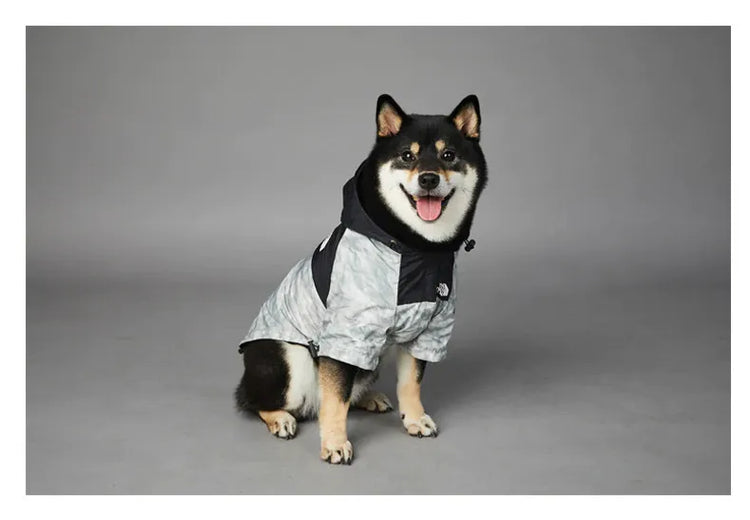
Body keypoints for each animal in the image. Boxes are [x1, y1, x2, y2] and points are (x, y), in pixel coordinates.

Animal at [238, 93, 490, 464]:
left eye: (449, 155)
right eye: (407, 155)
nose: (429, 179)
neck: (416, 248)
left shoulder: (429, 331)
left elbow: (410, 383)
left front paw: (415, 419)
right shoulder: (347, 332)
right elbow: (335, 400)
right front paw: (334, 443)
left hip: (370, 358)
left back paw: (369, 399)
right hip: (289, 360)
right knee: (256, 399)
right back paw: (281, 417)